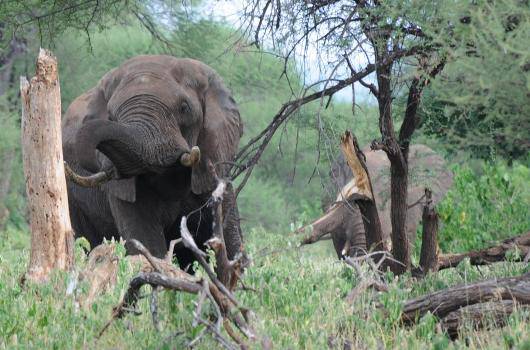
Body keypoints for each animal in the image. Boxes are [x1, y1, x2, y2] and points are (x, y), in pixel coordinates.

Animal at [61, 54, 241, 270]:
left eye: (184, 108)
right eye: (111, 116)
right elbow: (146, 242)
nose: (97, 165)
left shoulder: (215, 165)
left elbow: (231, 241)